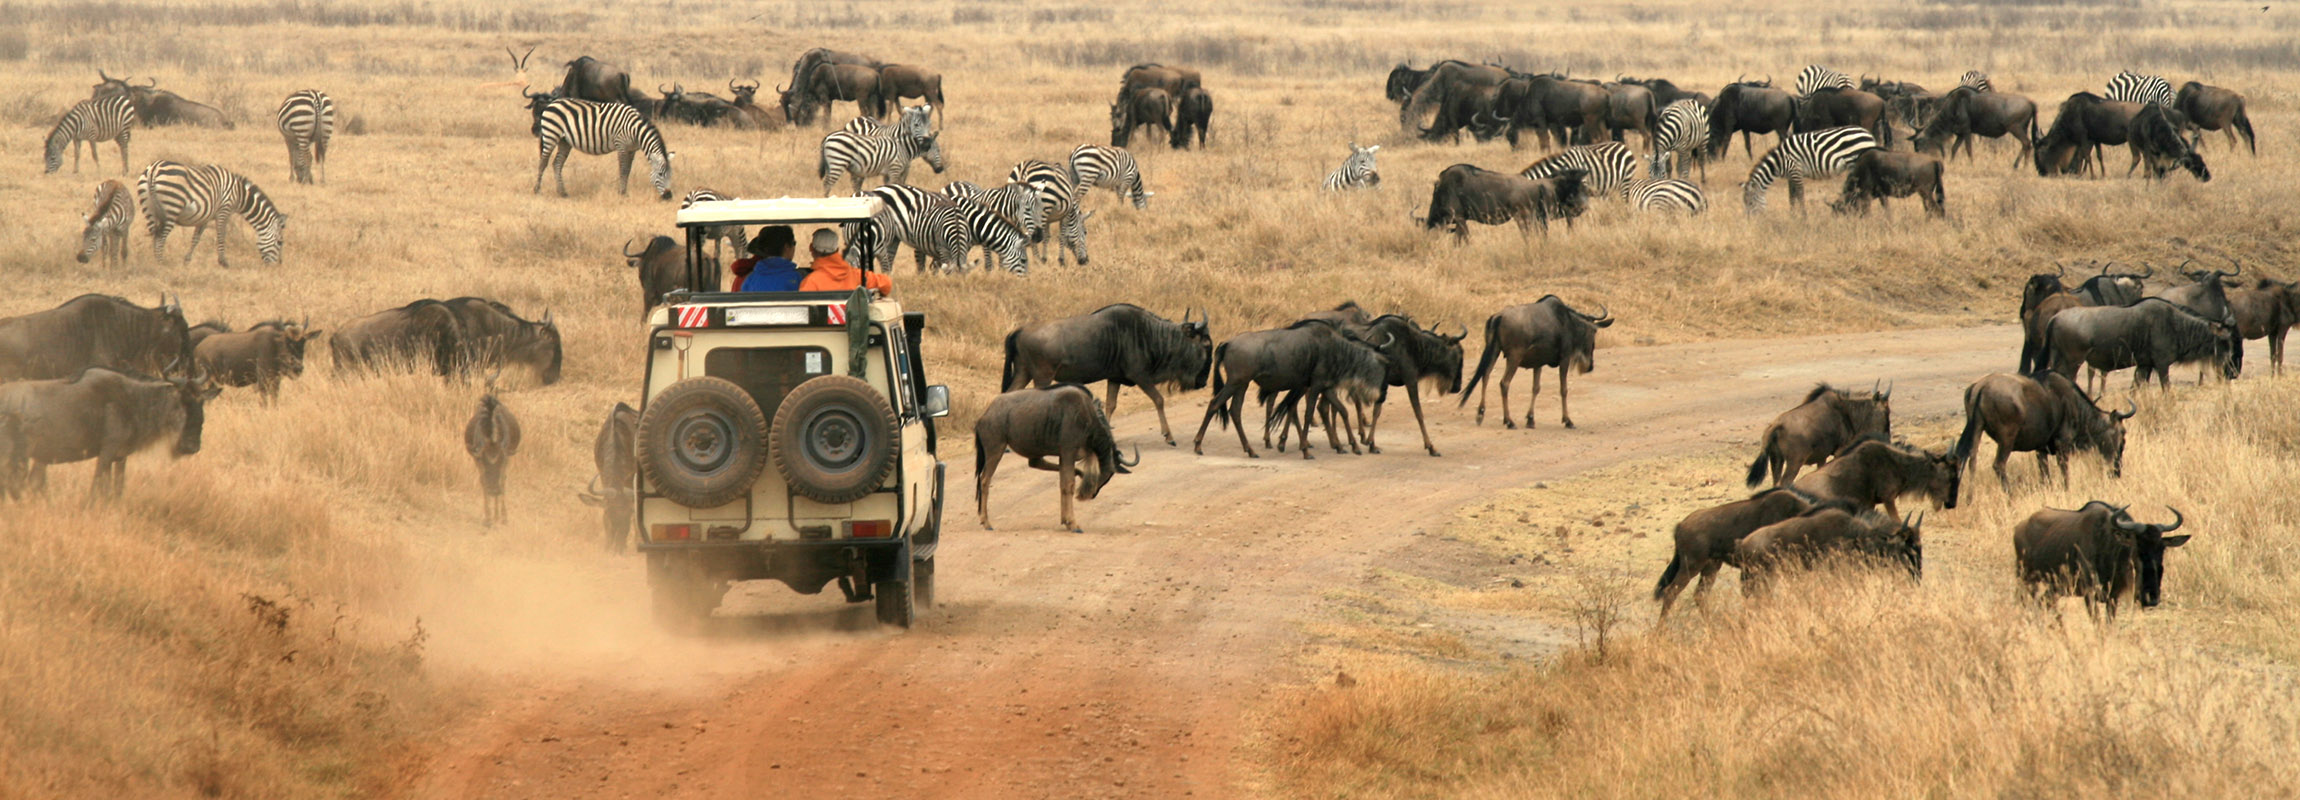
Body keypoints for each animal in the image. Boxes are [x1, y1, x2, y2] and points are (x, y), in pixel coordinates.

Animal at [138, 160, 288, 266]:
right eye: (280, 242)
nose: (278, 265)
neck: (239, 194)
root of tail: (154, 169)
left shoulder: (205, 216)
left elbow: (196, 238)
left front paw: (187, 260)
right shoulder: (224, 211)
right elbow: (221, 235)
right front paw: (223, 262)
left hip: (149, 210)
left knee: (154, 235)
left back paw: (153, 261)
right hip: (172, 208)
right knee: (160, 237)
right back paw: (161, 263)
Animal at [532, 97, 674, 199]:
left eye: (670, 175)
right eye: (660, 174)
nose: (668, 196)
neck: (635, 129)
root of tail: (552, 103)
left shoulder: (632, 150)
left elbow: (628, 170)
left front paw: (623, 191)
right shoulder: (621, 145)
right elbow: (623, 170)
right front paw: (622, 193)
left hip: (564, 141)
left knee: (557, 163)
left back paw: (562, 192)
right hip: (551, 134)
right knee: (543, 162)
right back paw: (537, 189)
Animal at [1741, 126, 1879, 213]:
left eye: (1750, 204)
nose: (1751, 223)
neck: (1779, 161)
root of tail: (1868, 134)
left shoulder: (1795, 170)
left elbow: (1800, 195)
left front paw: (1803, 218)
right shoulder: (1791, 176)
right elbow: (1792, 196)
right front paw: (1792, 215)